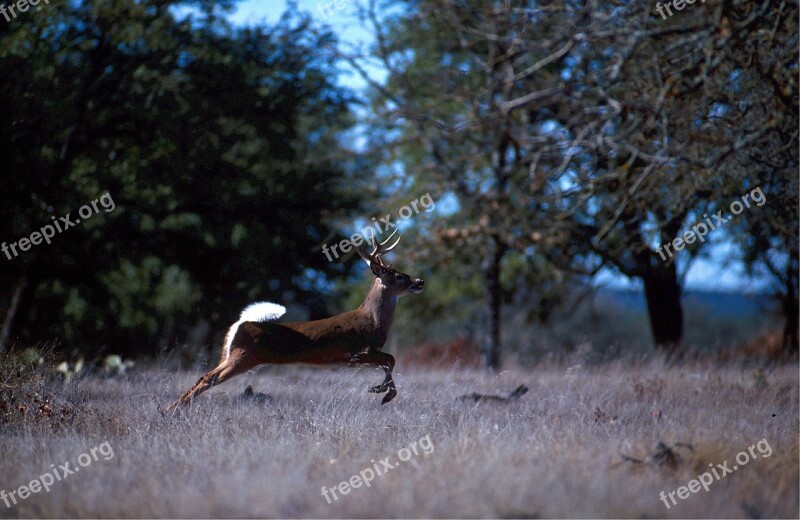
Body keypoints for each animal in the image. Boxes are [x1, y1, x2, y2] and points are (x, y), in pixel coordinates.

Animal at [170, 232, 424, 410]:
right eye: (398, 276)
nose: (419, 281)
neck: (373, 321)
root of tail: (240, 323)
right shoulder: (358, 353)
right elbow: (391, 359)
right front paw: (385, 393)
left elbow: (389, 362)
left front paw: (380, 389)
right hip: (243, 357)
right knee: (207, 379)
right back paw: (173, 411)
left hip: (230, 355)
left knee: (203, 376)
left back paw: (170, 409)